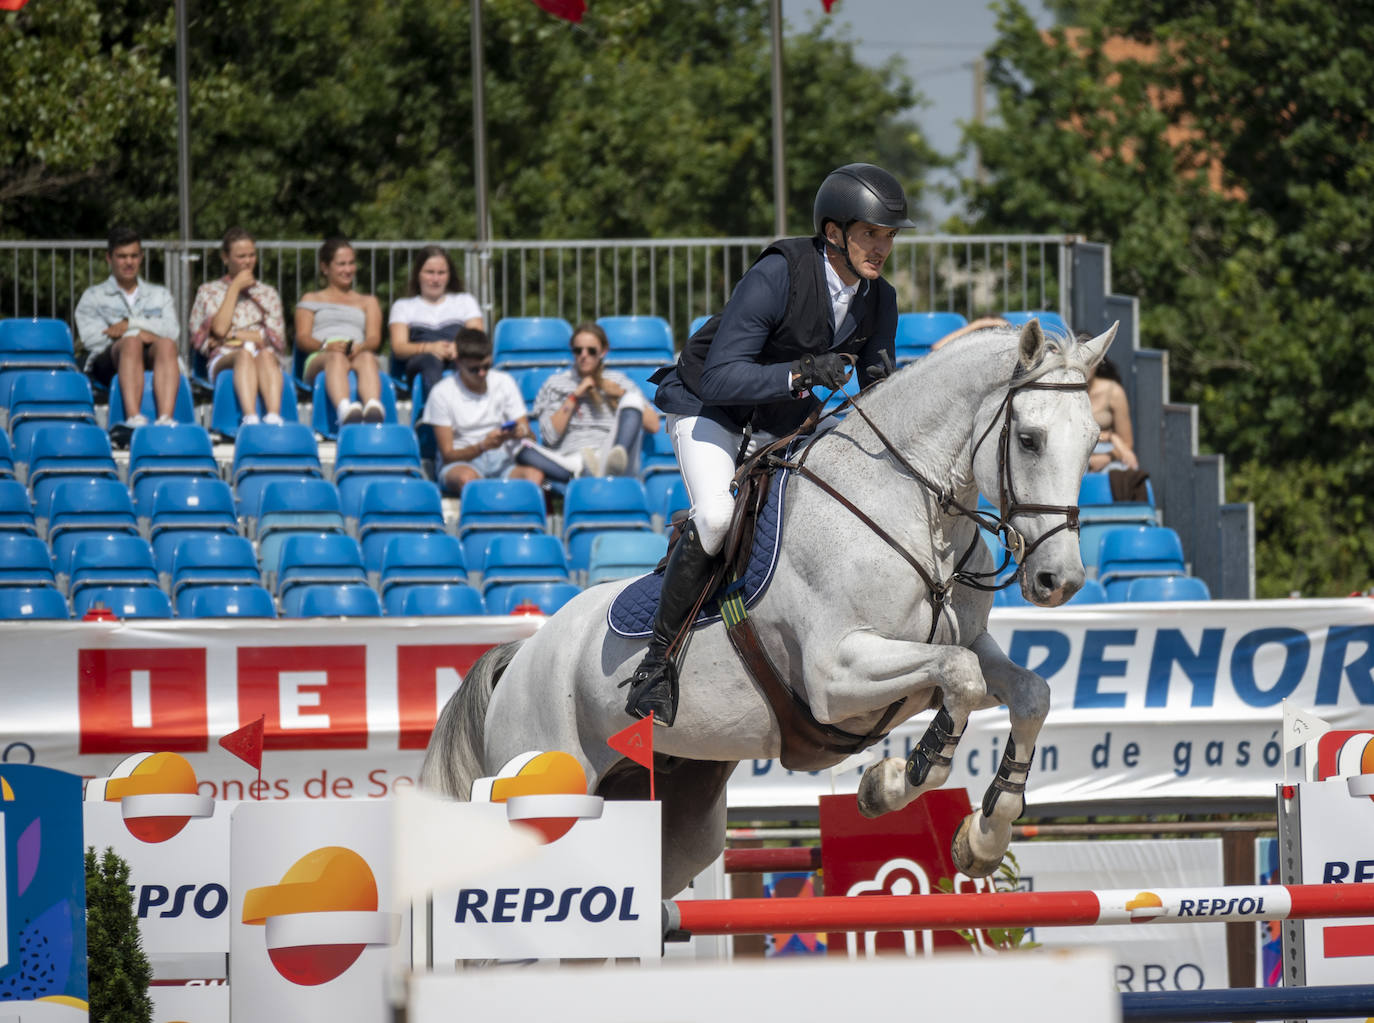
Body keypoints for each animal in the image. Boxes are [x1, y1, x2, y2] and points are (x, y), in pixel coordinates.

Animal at [417, 318, 1115, 895]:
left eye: (1092, 444)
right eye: (1029, 439)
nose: (1059, 580)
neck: (914, 511)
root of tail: (521, 655)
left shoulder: (965, 645)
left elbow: (1027, 692)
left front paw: (982, 835)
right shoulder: (835, 676)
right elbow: (959, 682)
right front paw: (894, 780)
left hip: (675, 816)